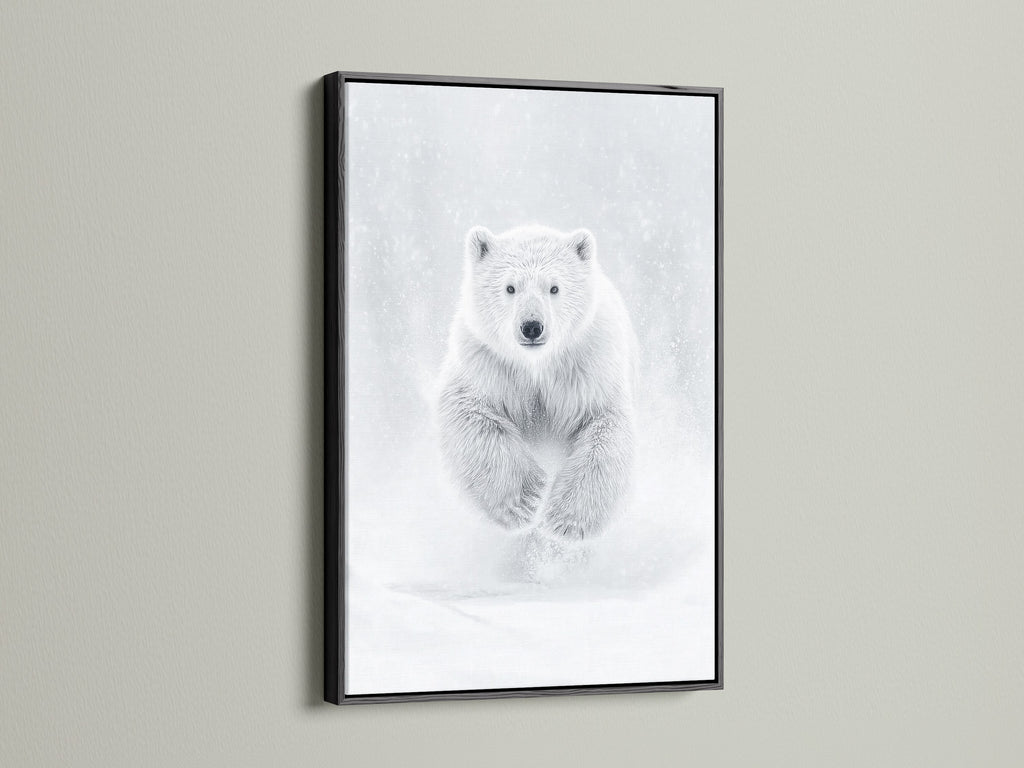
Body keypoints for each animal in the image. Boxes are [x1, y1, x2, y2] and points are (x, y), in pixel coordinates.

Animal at [438, 225, 637, 541]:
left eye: (554, 287)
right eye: (510, 287)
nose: (532, 326)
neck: (537, 365)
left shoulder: (587, 365)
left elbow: (605, 427)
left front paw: (566, 521)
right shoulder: (487, 363)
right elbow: (469, 413)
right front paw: (525, 501)